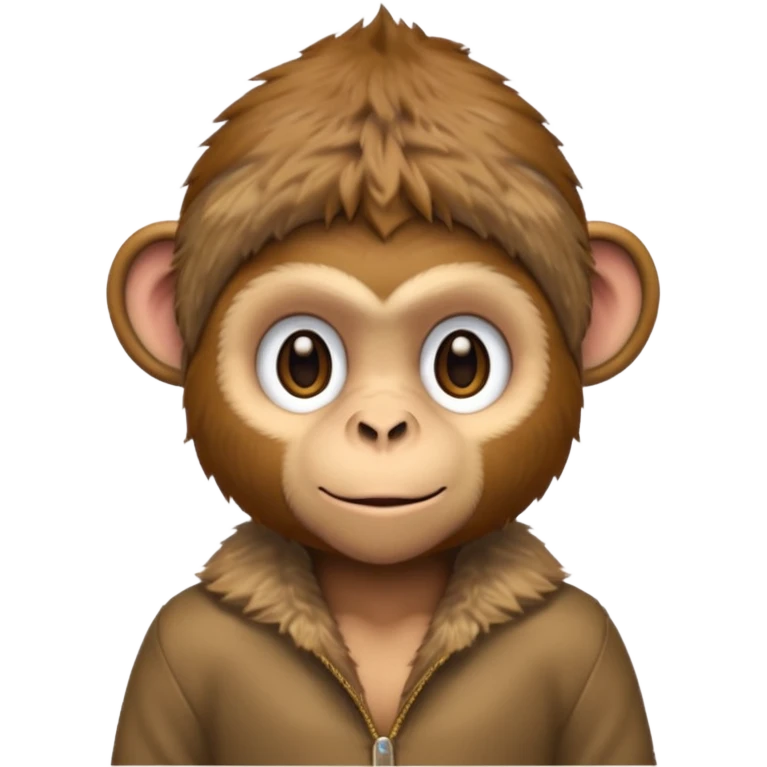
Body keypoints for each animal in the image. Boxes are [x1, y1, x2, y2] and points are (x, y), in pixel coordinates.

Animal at [106, 7, 661, 766]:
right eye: (302, 362)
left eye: (462, 363)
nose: (382, 426)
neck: (382, 598)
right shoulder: (168, 649)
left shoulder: (595, 648)